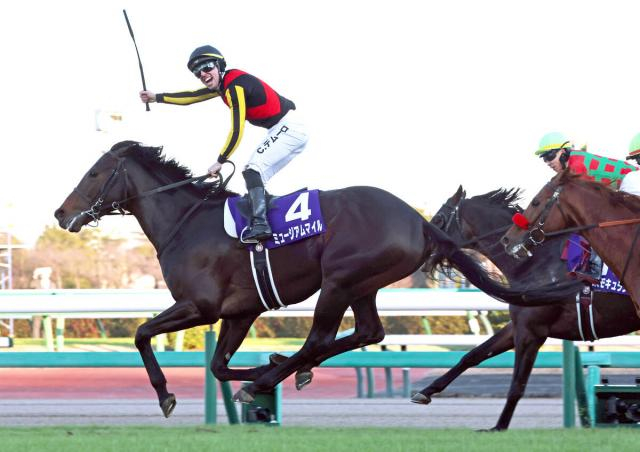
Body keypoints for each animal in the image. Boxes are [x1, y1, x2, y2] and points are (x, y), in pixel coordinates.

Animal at [55, 141, 573, 417]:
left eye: (95, 172)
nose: (61, 213)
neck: (187, 221)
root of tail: (419, 220)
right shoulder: (241, 311)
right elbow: (218, 365)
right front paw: (260, 371)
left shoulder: (201, 306)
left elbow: (143, 334)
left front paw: (168, 394)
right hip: (364, 283)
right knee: (367, 331)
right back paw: (283, 370)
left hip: (339, 279)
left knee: (323, 336)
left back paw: (279, 372)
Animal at [412, 185, 640, 430]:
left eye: (439, 219)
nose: (422, 254)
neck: (533, 260)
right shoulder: (519, 324)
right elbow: (474, 355)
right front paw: (425, 392)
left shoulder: (531, 332)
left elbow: (517, 385)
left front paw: (499, 426)